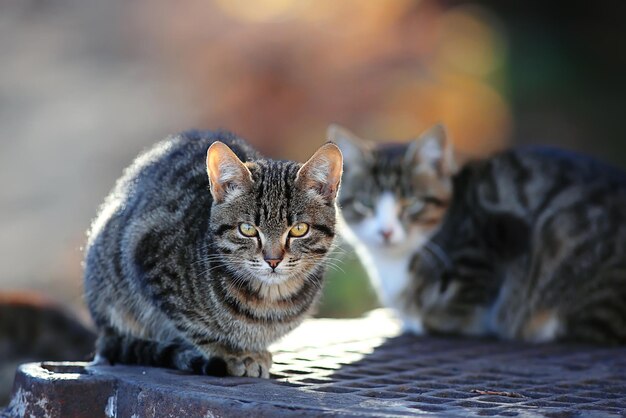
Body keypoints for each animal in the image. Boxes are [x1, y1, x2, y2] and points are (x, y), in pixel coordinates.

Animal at [83, 129, 342, 378]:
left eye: (299, 229)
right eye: (247, 229)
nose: (273, 260)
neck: (268, 303)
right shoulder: (147, 253)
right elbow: (192, 327)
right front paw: (232, 353)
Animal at [334, 125, 624, 346]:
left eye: (412, 203)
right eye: (366, 204)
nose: (386, 231)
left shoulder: (488, 243)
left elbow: (454, 310)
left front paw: (419, 319)